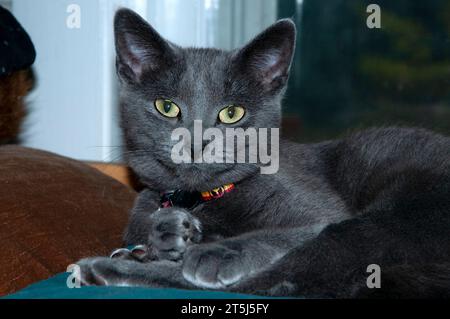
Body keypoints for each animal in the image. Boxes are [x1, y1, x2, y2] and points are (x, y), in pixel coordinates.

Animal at [77, 8, 450, 298]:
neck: (201, 198)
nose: (197, 142)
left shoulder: (322, 213)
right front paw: (170, 233)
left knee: (284, 277)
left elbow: (287, 234)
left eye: (232, 113)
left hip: (393, 218)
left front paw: (208, 249)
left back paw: (105, 269)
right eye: (166, 107)